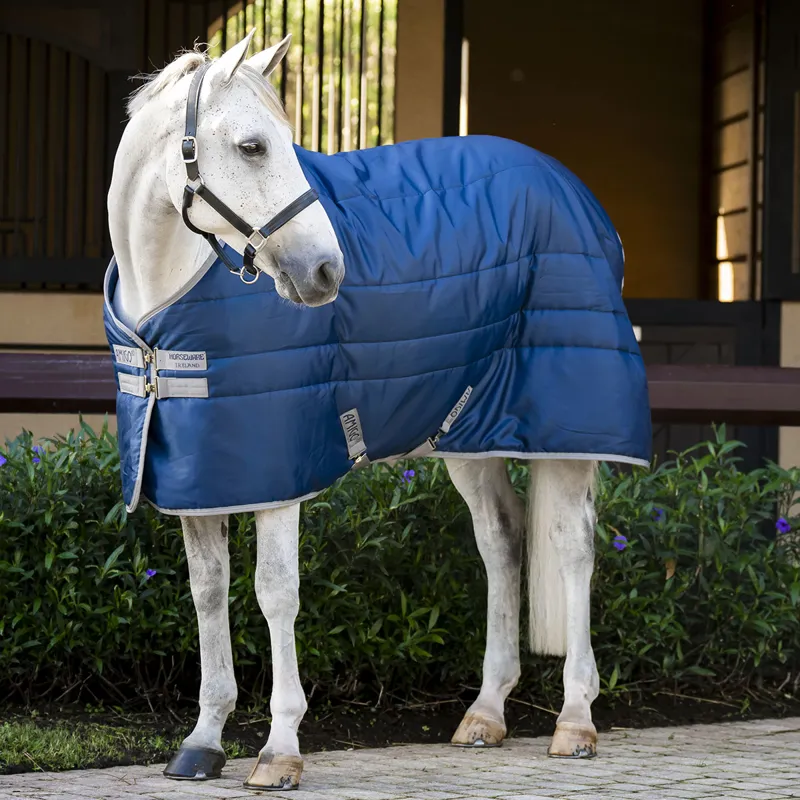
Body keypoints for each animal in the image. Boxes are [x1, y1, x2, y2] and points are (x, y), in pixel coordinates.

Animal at [106, 31, 650, 791]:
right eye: (251, 146)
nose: (325, 273)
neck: (165, 308)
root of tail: (574, 192)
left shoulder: (279, 475)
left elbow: (275, 593)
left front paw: (279, 750)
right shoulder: (201, 477)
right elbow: (208, 593)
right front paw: (203, 742)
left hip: (564, 429)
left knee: (573, 547)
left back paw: (575, 720)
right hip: (467, 434)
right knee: (501, 539)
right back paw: (485, 713)